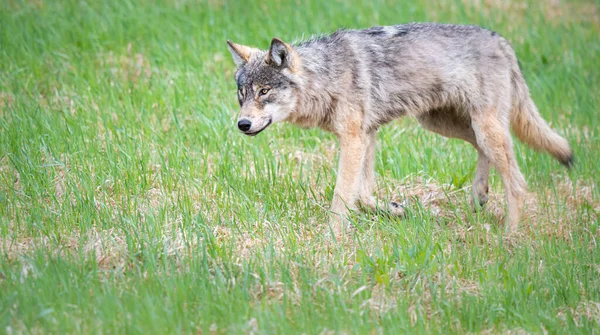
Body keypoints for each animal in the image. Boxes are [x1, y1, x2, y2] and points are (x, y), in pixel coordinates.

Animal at [227, 23, 576, 234]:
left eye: (264, 92)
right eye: (242, 94)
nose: (242, 124)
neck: (325, 76)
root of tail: (501, 40)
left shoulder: (353, 139)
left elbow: (342, 196)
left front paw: (332, 238)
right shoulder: (367, 136)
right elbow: (363, 195)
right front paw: (396, 210)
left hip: (481, 126)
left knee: (517, 182)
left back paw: (509, 237)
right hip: (446, 124)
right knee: (483, 151)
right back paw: (479, 195)